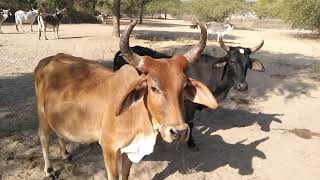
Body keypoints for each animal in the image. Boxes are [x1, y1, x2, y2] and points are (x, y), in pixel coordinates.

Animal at [33, 19, 218, 179]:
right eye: (154, 88)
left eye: (183, 87)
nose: (179, 132)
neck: (137, 114)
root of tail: (46, 60)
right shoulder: (108, 148)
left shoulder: (130, 151)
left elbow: (126, 174)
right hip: (42, 115)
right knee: (43, 137)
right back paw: (49, 170)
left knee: (59, 132)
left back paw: (65, 154)